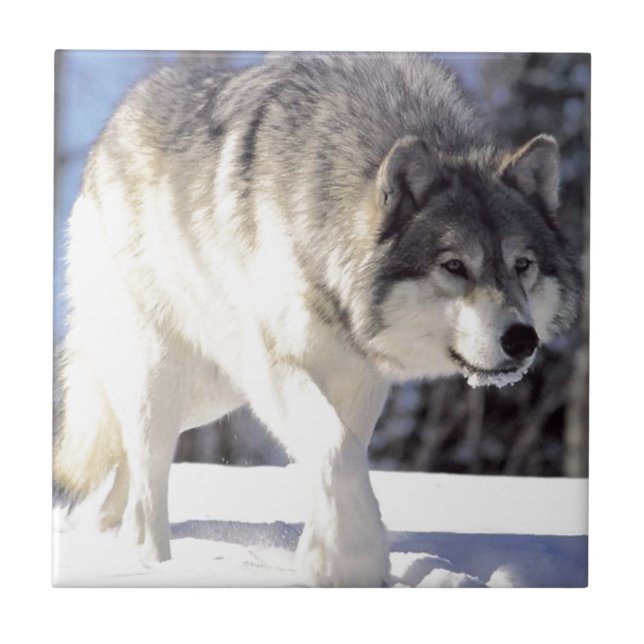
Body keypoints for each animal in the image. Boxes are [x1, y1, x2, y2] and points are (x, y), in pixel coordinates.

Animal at [54, 52, 581, 587]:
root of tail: (110, 130)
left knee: (125, 466)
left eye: (522, 265)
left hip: (210, 395)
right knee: (146, 480)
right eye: (454, 266)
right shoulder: (274, 362)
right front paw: (350, 559)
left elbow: (341, 452)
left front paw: (323, 551)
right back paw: (150, 563)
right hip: (166, 379)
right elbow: (334, 448)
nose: (523, 341)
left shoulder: (359, 375)